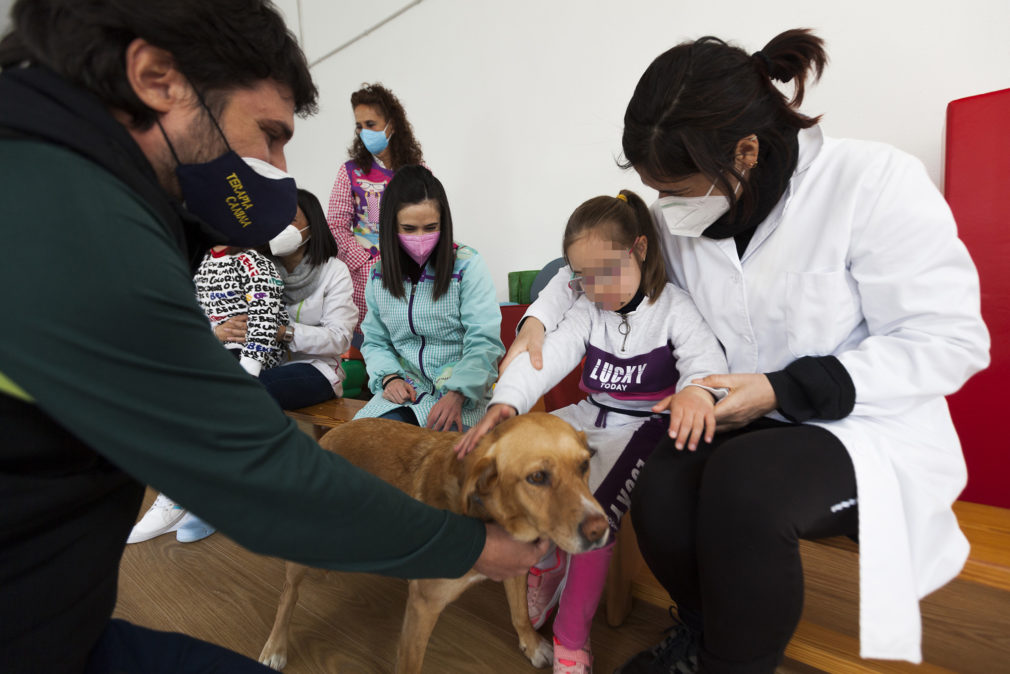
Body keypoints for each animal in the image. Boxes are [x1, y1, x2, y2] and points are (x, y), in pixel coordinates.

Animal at [260, 412, 606, 674]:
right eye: (537, 478)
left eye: (584, 465)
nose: (600, 530)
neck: (489, 515)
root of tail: (330, 434)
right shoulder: (423, 605)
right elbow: (410, 664)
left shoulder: (516, 569)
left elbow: (519, 613)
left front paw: (531, 644)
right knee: (287, 596)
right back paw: (275, 646)